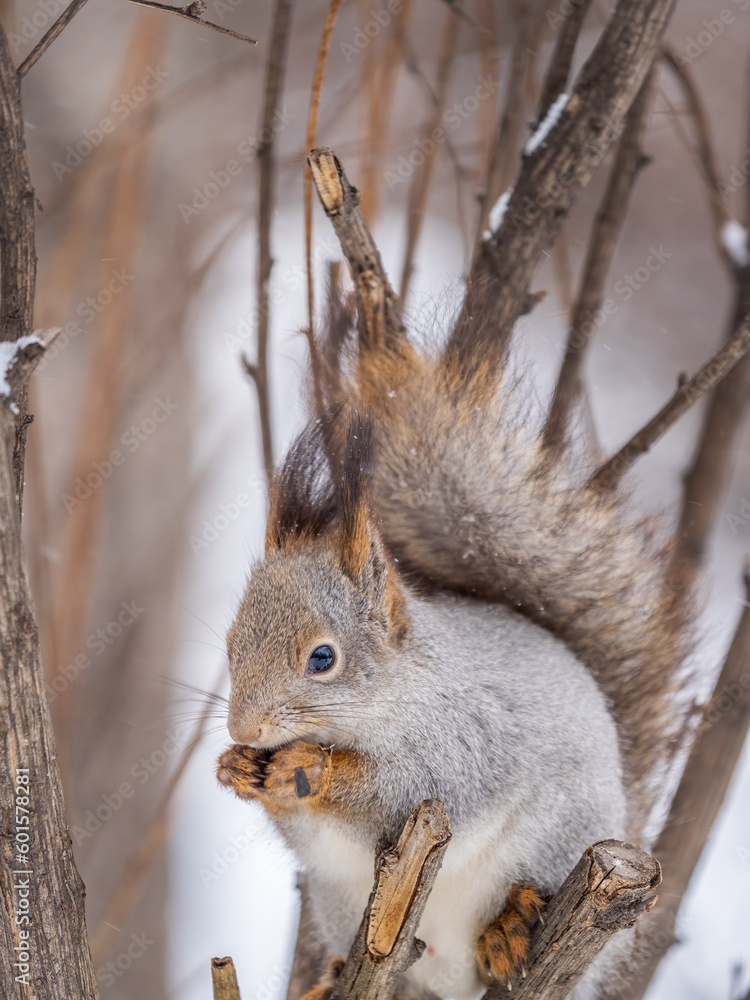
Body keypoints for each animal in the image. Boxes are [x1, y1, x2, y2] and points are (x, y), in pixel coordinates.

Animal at [216, 213, 688, 1000]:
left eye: (323, 658)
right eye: (229, 645)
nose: (243, 727)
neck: (391, 696)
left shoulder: (461, 743)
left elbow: (401, 788)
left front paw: (305, 771)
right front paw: (235, 768)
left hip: (565, 834)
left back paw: (510, 924)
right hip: (344, 905)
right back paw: (337, 973)